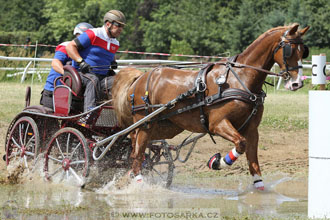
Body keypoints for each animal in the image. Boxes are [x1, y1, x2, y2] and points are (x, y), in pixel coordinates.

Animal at [113, 23, 310, 189]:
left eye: (303, 51)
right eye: (289, 50)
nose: (297, 83)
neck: (239, 79)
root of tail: (140, 77)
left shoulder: (252, 129)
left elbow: (253, 161)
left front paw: (259, 190)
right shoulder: (218, 124)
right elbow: (241, 144)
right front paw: (216, 162)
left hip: (165, 126)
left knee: (141, 148)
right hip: (144, 124)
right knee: (137, 153)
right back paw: (138, 181)